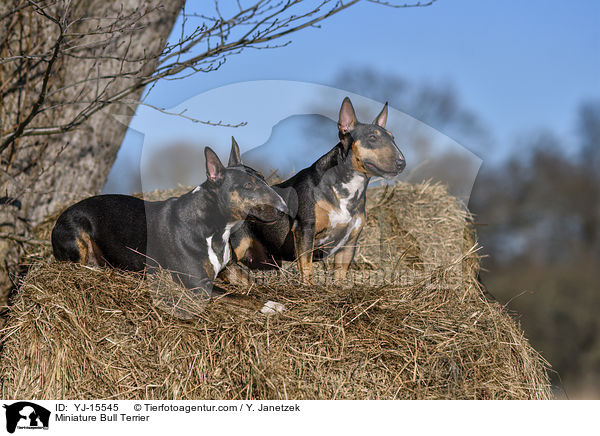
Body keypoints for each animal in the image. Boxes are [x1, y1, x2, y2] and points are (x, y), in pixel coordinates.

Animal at [226, 96, 408, 282]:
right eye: (372, 138)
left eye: (393, 138)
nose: (402, 163)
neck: (347, 190)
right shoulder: (305, 230)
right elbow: (307, 268)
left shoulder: (349, 243)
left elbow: (340, 276)